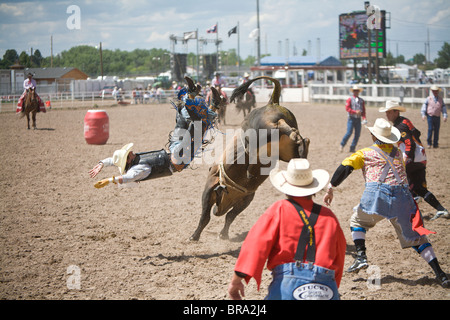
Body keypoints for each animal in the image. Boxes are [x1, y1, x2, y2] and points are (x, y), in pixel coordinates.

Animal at [189, 75, 310, 240]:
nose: (217, 211)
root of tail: (272, 103)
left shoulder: (213, 184)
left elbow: (206, 216)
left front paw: (195, 235)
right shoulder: (246, 198)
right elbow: (230, 216)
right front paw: (223, 234)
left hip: (261, 130)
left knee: (262, 142)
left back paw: (250, 170)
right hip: (287, 150)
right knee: (297, 137)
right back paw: (301, 149)